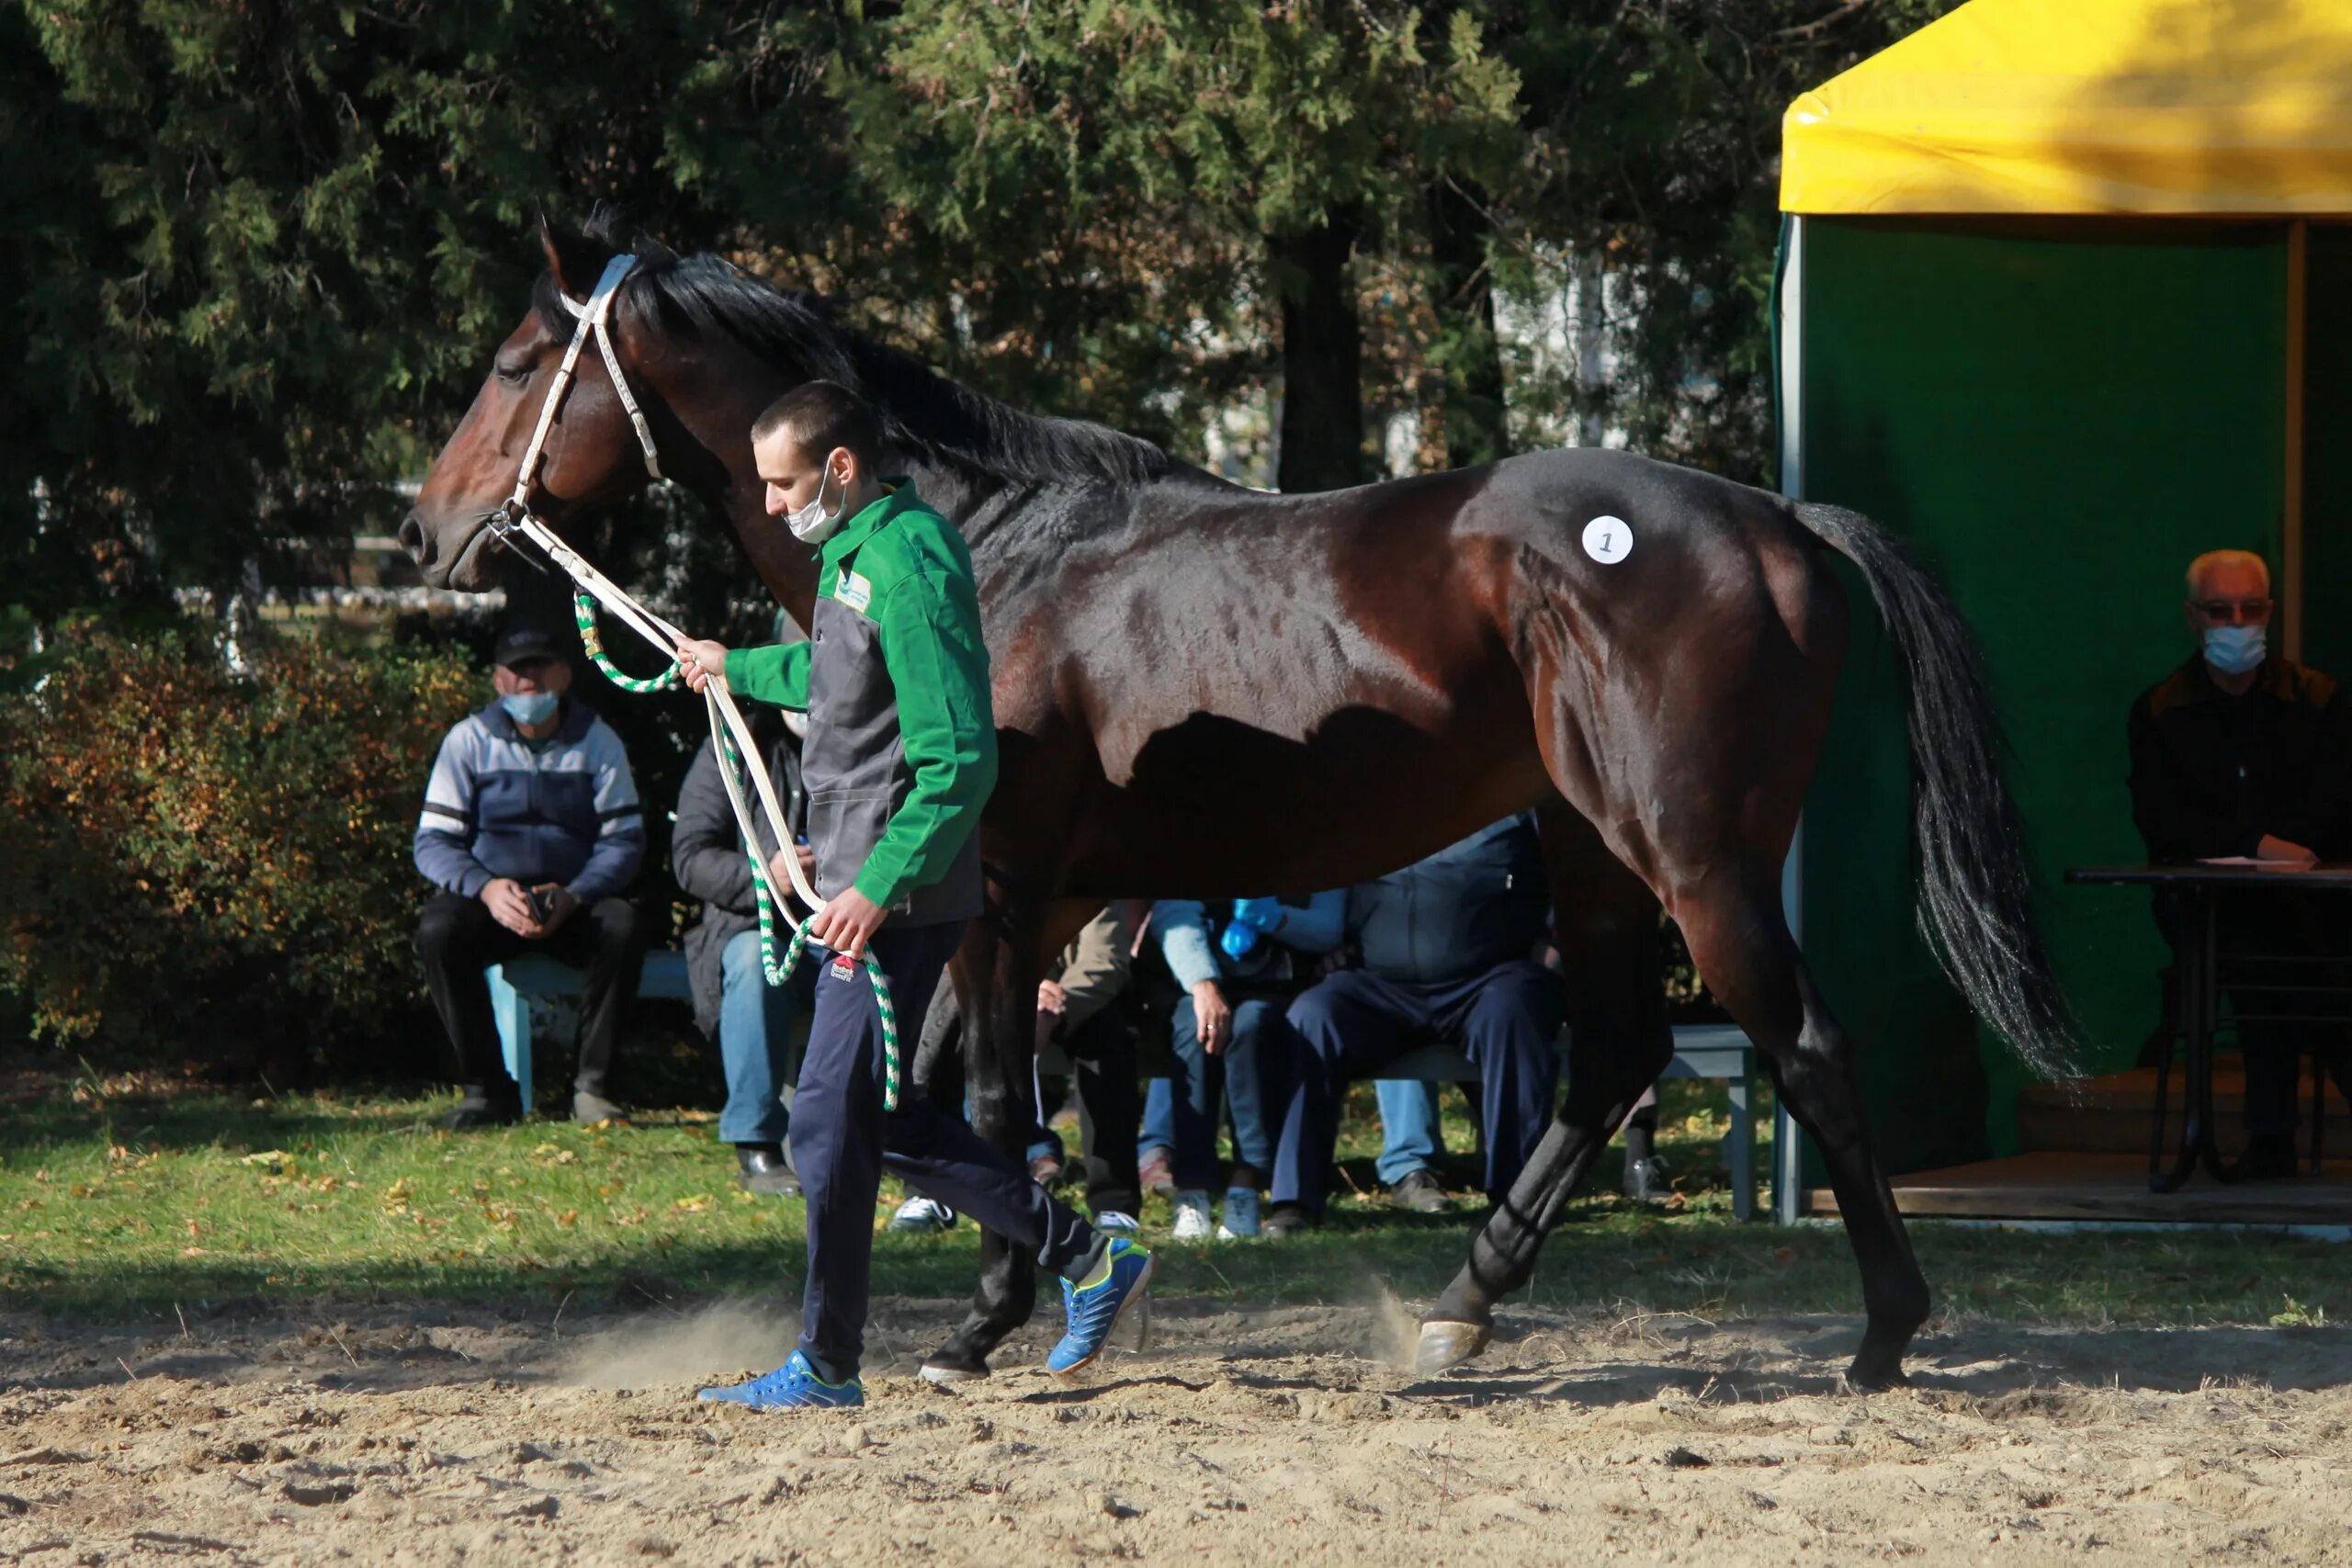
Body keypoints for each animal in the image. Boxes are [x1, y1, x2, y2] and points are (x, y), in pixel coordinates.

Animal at [409, 215, 2079, 1392]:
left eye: (514, 361)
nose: (428, 528)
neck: (987, 542)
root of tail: (1779, 517)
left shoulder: (1000, 899)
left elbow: (993, 1104)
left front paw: (990, 1320)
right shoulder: (1033, 910)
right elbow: (946, 1099)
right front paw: (1024, 1288)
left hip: (1694, 858)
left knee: (1802, 1049)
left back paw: (1883, 1333)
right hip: (1592, 848)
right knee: (1614, 1055)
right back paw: (1459, 1310)